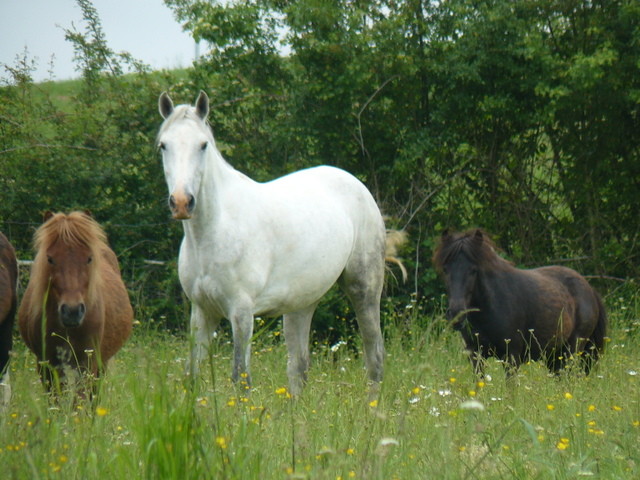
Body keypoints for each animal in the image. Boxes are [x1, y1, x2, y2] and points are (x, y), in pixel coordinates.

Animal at [158, 90, 392, 394]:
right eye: (164, 145)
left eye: (203, 145)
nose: (182, 202)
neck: (214, 229)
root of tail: (357, 185)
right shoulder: (201, 311)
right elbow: (192, 375)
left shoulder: (241, 312)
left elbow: (241, 378)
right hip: (301, 304)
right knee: (298, 367)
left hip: (364, 288)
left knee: (374, 357)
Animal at [432, 229, 608, 376]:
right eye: (446, 269)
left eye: (474, 270)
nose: (457, 313)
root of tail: (589, 289)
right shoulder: (475, 355)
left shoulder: (511, 356)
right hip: (554, 356)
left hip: (572, 349)